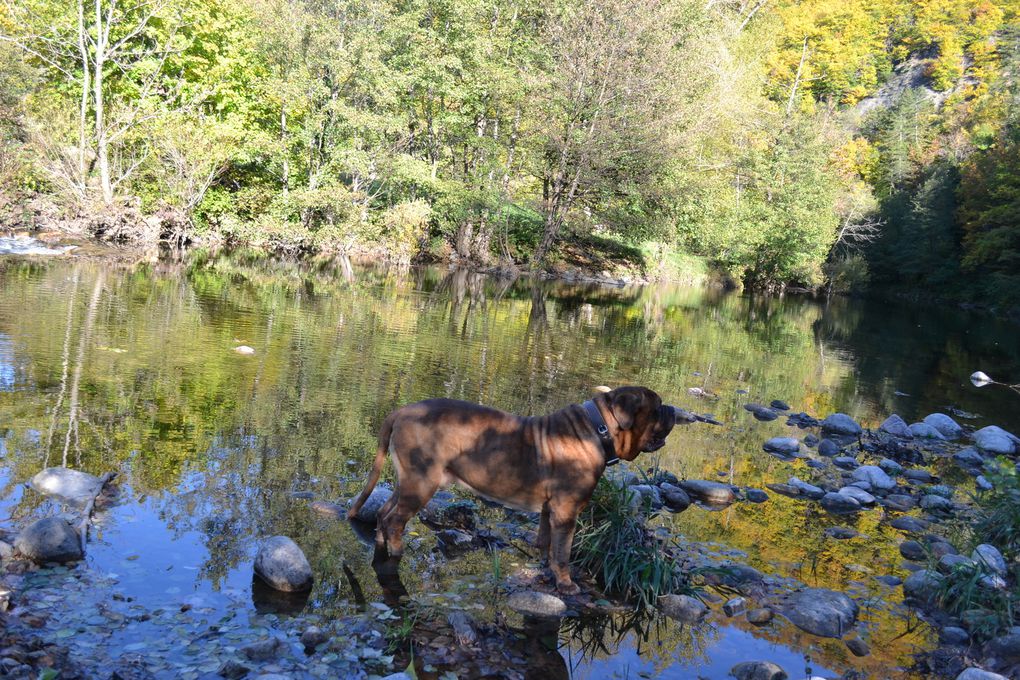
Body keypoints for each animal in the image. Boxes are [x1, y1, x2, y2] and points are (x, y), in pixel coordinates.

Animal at [348, 385, 677, 591]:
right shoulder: (566, 511)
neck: (600, 430)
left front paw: (544, 565)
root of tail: (401, 411)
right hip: (421, 483)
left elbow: (546, 540)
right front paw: (566, 583)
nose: (674, 409)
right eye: (658, 408)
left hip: (407, 482)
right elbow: (563, 551)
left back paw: (381, 542)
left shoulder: (549, 510)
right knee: (395, 520)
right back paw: (396, 552)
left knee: (384, 512)